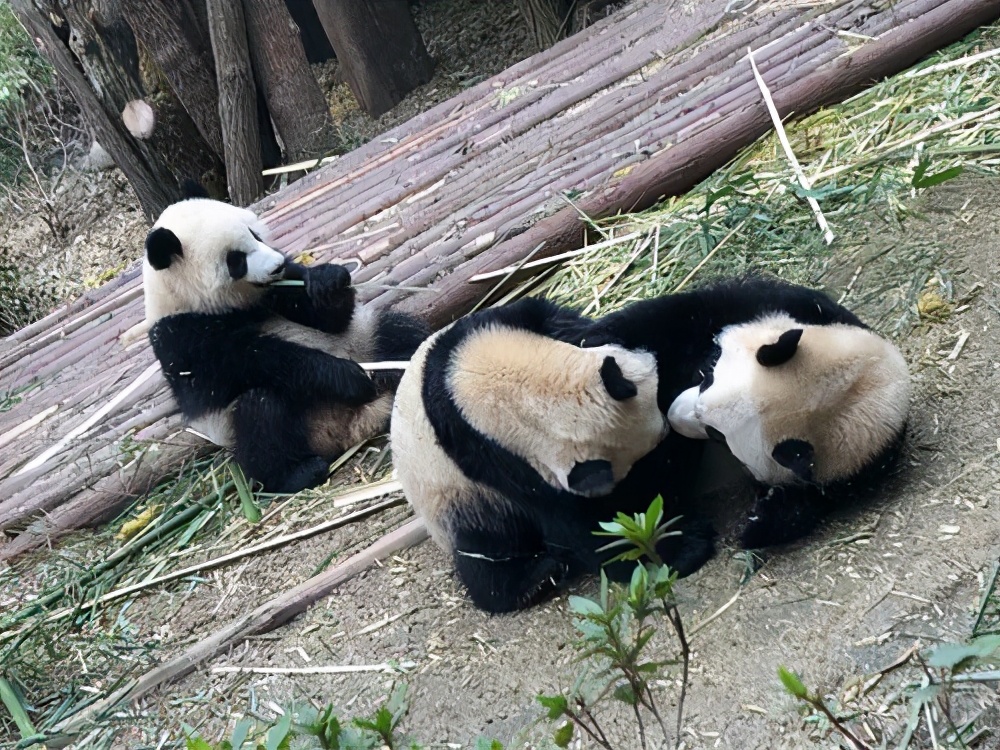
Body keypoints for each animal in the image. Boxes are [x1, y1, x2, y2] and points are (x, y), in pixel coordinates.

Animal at [144, 197, 430, 496]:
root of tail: (354, 427)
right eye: (236, 260)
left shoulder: (279, 289)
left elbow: (328, 320)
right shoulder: (181, 337)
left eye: (255, 235)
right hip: (257, 427)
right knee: (260, 410)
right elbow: (247, 363)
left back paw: (404, 373)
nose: (277, 265)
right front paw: (346, 378)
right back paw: (297, 474)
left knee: (396, 329)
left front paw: (328, 280)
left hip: (365, 338)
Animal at [390, 300, 720, 616]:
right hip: (458, 501)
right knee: (486, 549)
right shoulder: (492, 460)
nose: (670, 430)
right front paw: (678, 546)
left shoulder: (505, 321)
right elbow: (575, 521)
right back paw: (534, 579)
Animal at [576, 280, 912, 548]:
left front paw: (756, 525)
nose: (672, 416)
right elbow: (676, 318)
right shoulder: (787, 307)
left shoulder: (854, 473)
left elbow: (798, 508)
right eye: (709, 375)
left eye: (719, 437)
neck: (869, 377)